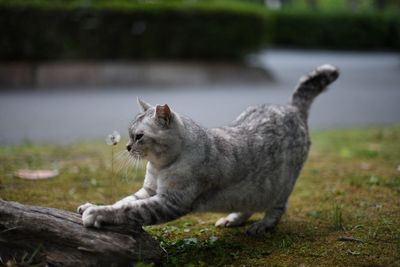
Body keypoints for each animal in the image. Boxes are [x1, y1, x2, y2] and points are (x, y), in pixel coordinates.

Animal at [79, 65, 340, 237]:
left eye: (139, 136)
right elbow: (124, 201)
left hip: (279, 186)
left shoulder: (170, 200)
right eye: (129, 133)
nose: (127, 146)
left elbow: (129, 209)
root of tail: (292, 108)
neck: (160, 166)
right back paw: (232, 219)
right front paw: (92, 205)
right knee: (247, 206)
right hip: (250, 190)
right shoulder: (148, 190)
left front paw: (97, 214)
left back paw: (262, 226)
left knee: (277, 208)